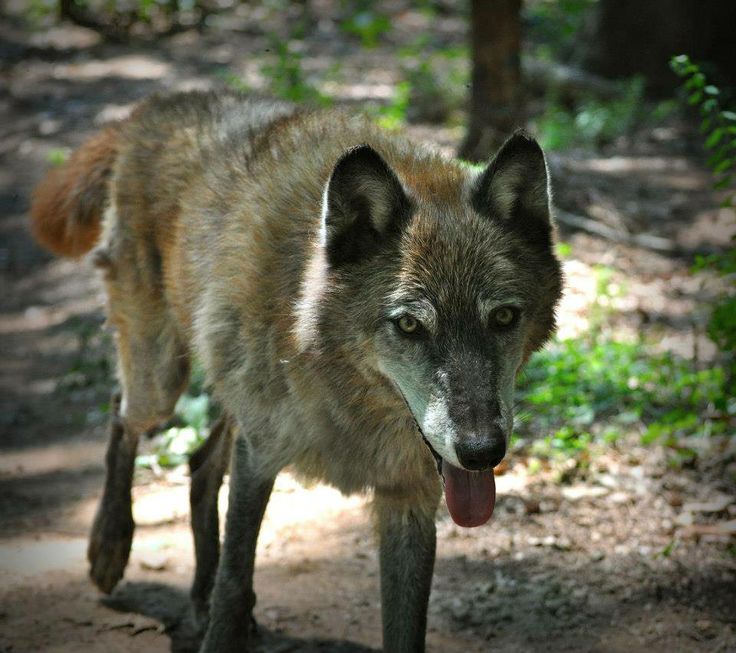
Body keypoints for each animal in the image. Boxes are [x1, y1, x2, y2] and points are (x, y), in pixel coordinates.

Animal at [31, 89, 564, 648]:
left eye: (503, 317)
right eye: (409, 325)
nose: (482, 452)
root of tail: (155, 107)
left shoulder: (407, 498)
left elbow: (405, 626)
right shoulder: (259, 457)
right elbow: (235, 581)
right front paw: (222, 625)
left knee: (199, 464)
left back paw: (195, 598)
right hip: (161, 385)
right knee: (121, 413)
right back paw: (110, 546)